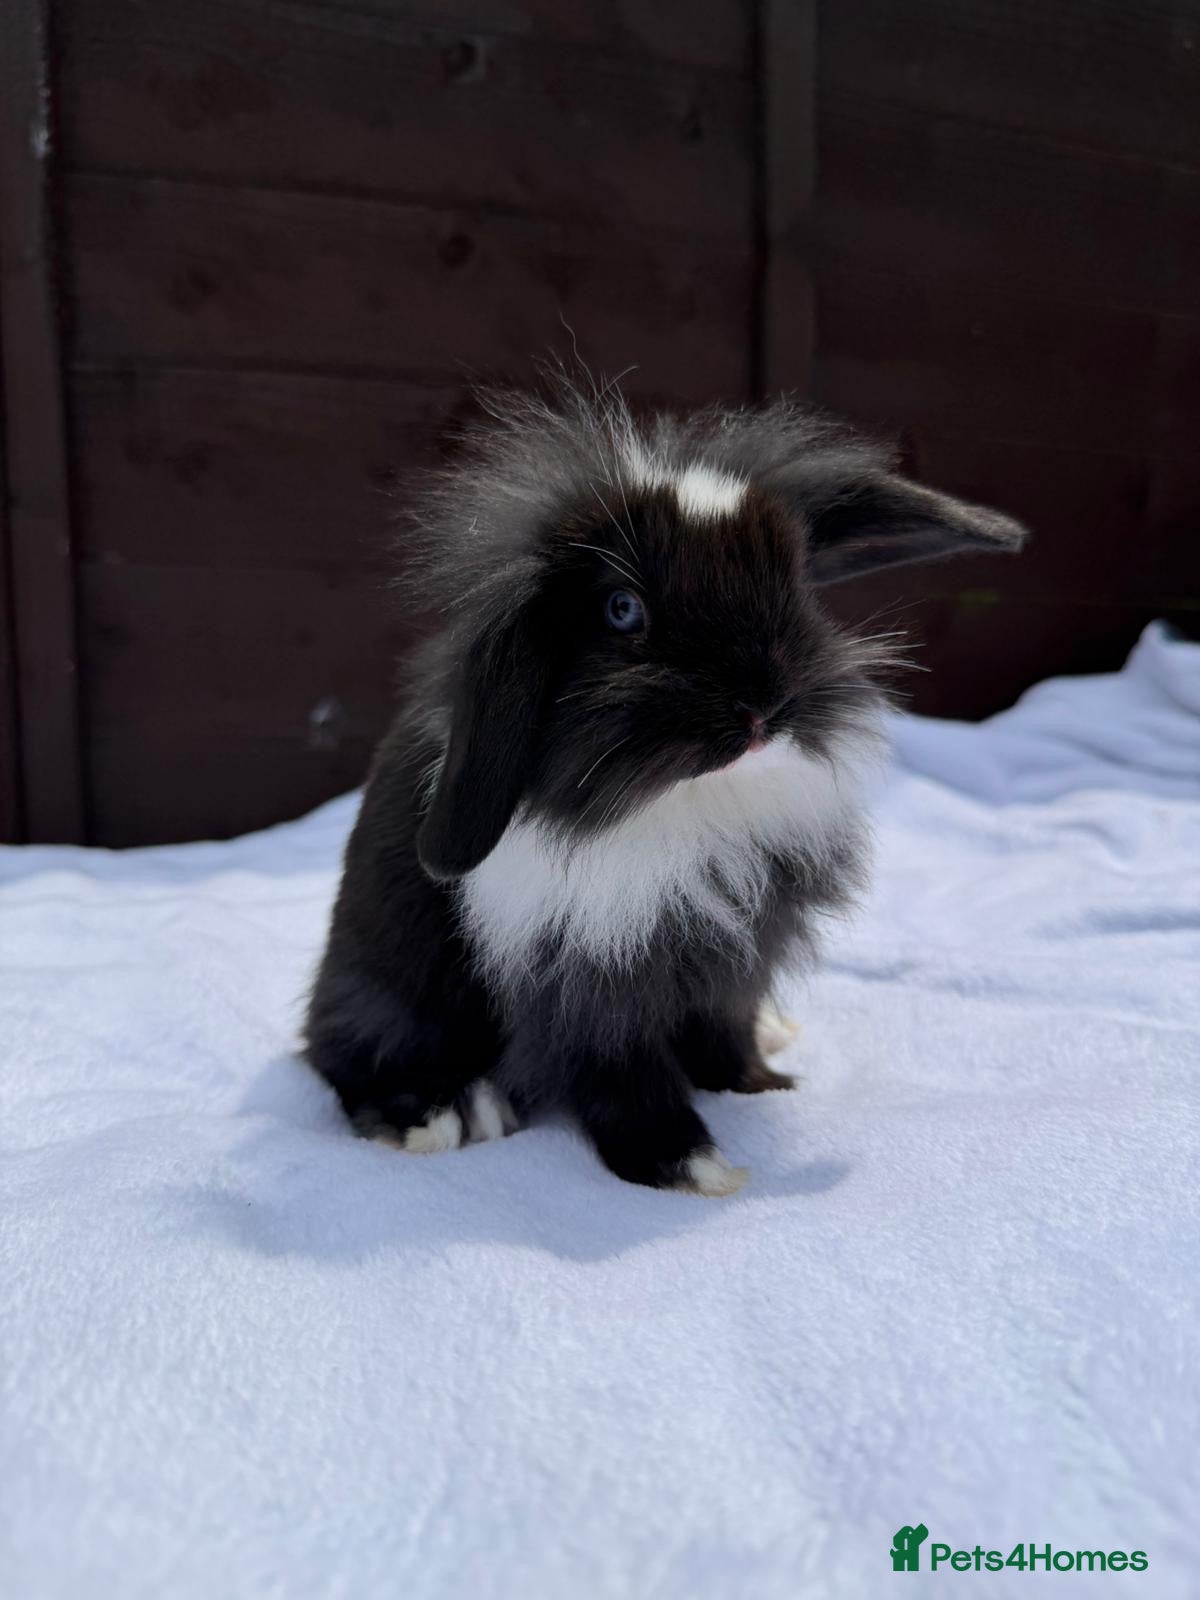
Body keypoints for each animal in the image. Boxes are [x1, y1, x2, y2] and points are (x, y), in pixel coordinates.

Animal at [305, 378, 1027, 1194]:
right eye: (623, 610)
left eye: (794, 582)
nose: (762, 707)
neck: (686, 802)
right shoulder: (589, 986)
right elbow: (623, 1080)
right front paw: (698, 1169)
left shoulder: (737, 952)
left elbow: (727, 1035)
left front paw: (762, 1087)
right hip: (382, 991)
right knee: (345, 1059)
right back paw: (445, 1117)